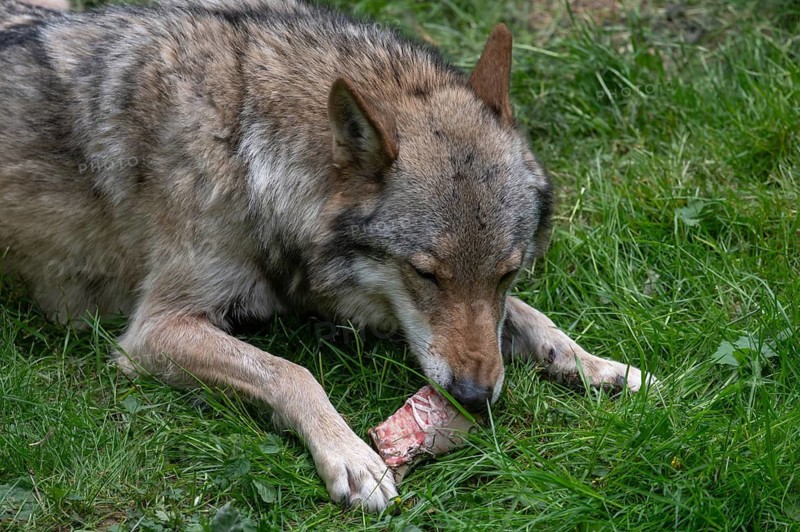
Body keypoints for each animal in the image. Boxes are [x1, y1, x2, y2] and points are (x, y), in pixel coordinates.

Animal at [0, 0, 655, 511]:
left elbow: (533, 319)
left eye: (509, 272)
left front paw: (601, 367)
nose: (474, 397)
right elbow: (292, 372)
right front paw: (351, 457)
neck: (247, 148)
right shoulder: (156, 330)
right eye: (425, 274)